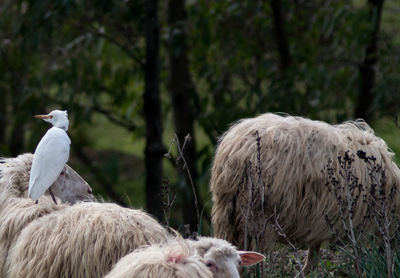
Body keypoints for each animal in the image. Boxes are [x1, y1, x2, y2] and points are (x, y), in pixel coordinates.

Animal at [209, 113, 400, 274]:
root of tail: (237, 152)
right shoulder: (356, 222)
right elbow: (356, 258)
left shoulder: (319, 220)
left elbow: (313, 257)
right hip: (259, 216)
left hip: (226, 213)